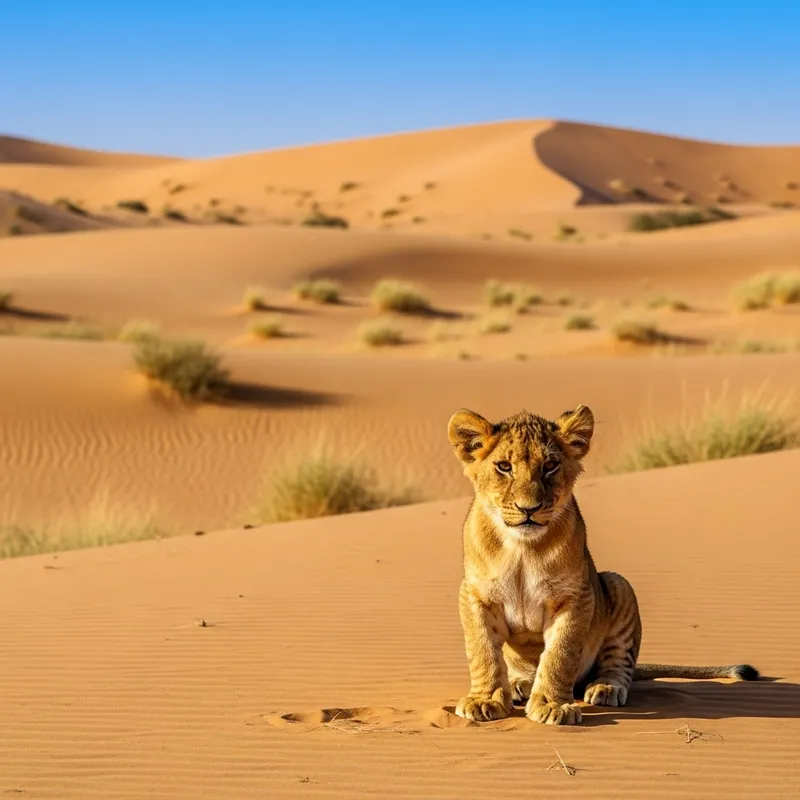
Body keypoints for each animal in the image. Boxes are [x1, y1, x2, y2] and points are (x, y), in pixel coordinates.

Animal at [447, 405, 758, 726]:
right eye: (504, 467)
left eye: (550, 466)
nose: (529, 508)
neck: (521, 549)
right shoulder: (475, 595)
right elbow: (483, 651)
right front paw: (484, 701)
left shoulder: (576, 597)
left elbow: (559, 655)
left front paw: (553, 705)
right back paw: (520, 684)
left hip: (617, 584)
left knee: (619, 665)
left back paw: (605, 688)